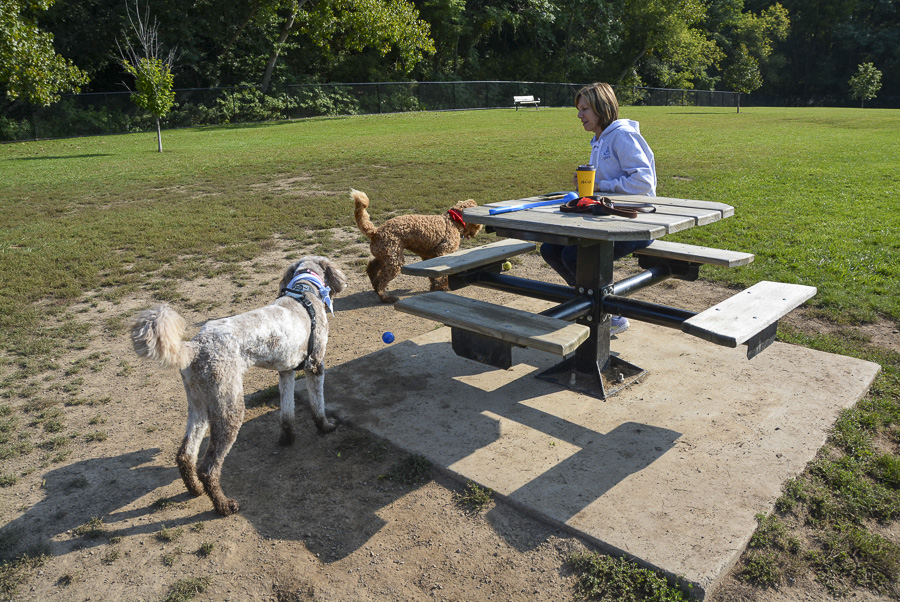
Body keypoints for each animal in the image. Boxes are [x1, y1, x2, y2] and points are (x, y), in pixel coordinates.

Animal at [130, 255, 348, 516]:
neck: (304, 290)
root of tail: (195, 347)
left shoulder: (285, 371)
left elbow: (287, 412)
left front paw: (288, 438)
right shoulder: (315, 366)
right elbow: (318, 405)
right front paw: (326, 427)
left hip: (199, 405)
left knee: (185, 454)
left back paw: (195, 490)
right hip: (230, 407)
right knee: (208, 468)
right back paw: (223, 505)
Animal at [352, 189, 482, 303]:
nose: (478, 231)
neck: (453, 220)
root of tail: (375, 231)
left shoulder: (429, 256)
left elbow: (433, 275)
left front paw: (434, 287)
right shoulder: (443, 252)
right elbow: (442, 275)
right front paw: (443, 288)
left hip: (385, 256)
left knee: (371, 269)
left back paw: (375, 285)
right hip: (394, 261)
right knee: (381, 282)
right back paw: (387, 298)